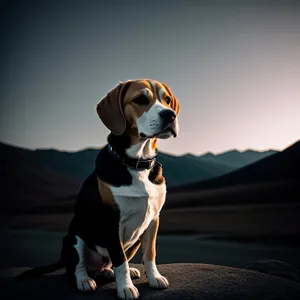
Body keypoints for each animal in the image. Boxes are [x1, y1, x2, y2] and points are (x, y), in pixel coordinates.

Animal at [21, 78, 180, 298]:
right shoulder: (111, 222)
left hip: (133, 241)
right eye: (140, 99)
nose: (170, 115)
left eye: (167, 100)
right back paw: (85, 280)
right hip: (75, 236)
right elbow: (120, 260)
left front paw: (154, 278)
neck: (135, 162)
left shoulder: (153, 219)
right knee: (77, 267)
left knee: (109, 265)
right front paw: (126, 288)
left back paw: (112, 272)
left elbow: (150, 253)